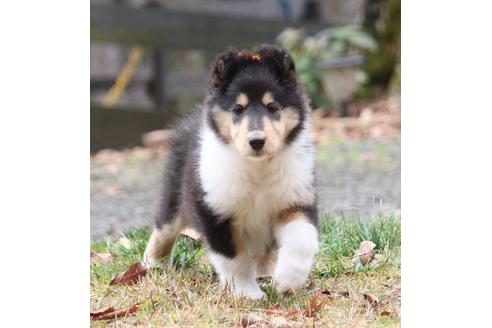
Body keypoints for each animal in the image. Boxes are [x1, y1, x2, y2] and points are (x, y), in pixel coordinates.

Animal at [142, 46, 320, 300]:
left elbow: (301, 239)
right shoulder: (215, 212)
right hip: (175, 194)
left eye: (272, 107)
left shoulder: (294, 201)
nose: (257, 141)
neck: (257, 169)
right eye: (238, 109)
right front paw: (248, 293)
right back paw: (153, 264)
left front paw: (288, 280)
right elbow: (234, 259)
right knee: (163, 229)